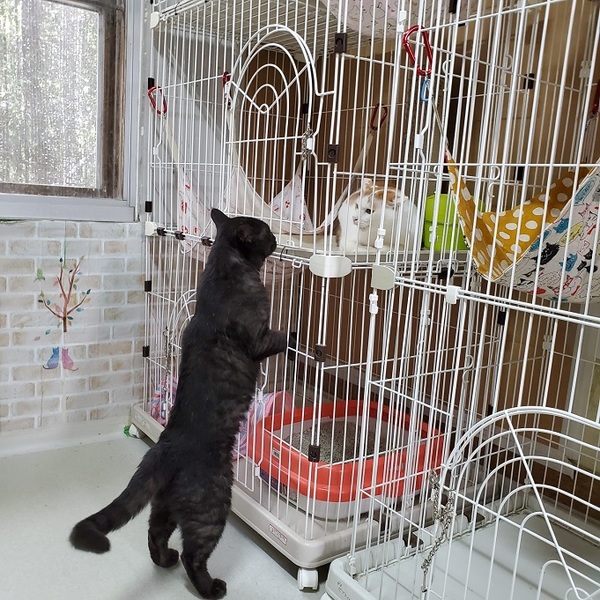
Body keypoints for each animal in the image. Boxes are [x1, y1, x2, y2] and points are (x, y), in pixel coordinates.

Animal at [70, 209, 293, 600]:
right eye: (265, 232)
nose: (278, 238)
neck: (222, 272)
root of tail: (164, 449)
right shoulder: (259, 338)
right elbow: (283, 337)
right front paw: (308, 343)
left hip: (164, 505)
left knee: (154, 533)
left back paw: (165, 561)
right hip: (212, 505)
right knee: (194, 554)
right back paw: (211, 587)